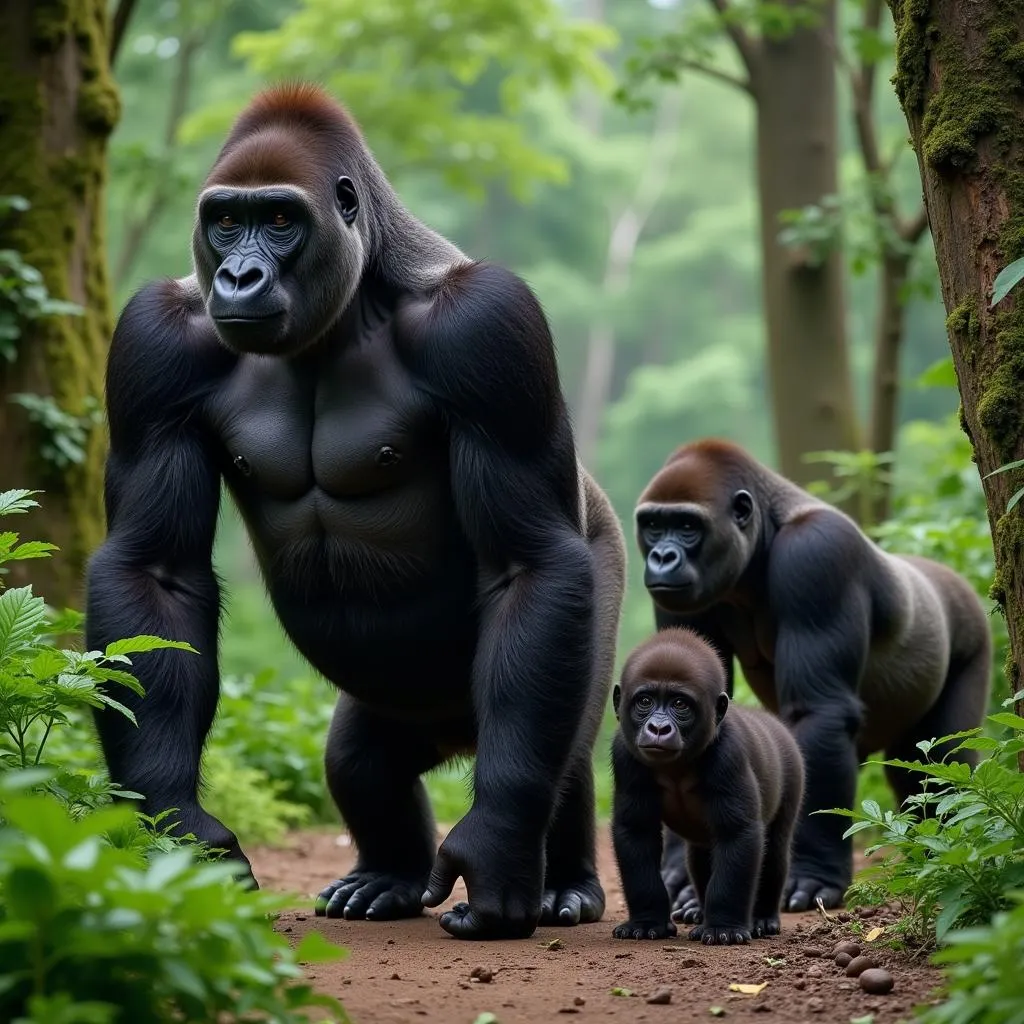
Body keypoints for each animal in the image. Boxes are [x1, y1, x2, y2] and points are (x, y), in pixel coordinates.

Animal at [88, 83, 626, 937]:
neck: (356, 294)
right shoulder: (153, 342)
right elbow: (154, 571)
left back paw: (564, 882)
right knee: (361, 756)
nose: (237, 276)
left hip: (600, 554)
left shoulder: (489, 326)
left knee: (561, 740)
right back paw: (388, 875)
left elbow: (530, 562)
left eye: (281, 220)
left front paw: (497, 847)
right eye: (225, 220)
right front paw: (180, 832)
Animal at [610, 626, 802, 946]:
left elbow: (737, 835)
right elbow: (636, 834)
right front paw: (647, 921)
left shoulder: (729, 754)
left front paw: (723, 925)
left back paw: (762, 917)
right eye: (645, 701)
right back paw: (699, 910)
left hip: (793, 769)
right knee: (701, 855)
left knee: (775, 850)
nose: (658, 729)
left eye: (679, 704)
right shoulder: (625, 754)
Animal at [638, 440, 991, 913]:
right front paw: (681, 872)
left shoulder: (818, 554)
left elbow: (818, 713)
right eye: (653, 525)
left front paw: (813, 873)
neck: (763, 541)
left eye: (688, 526)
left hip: (972, 631)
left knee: (947, 759)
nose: (661, 557)